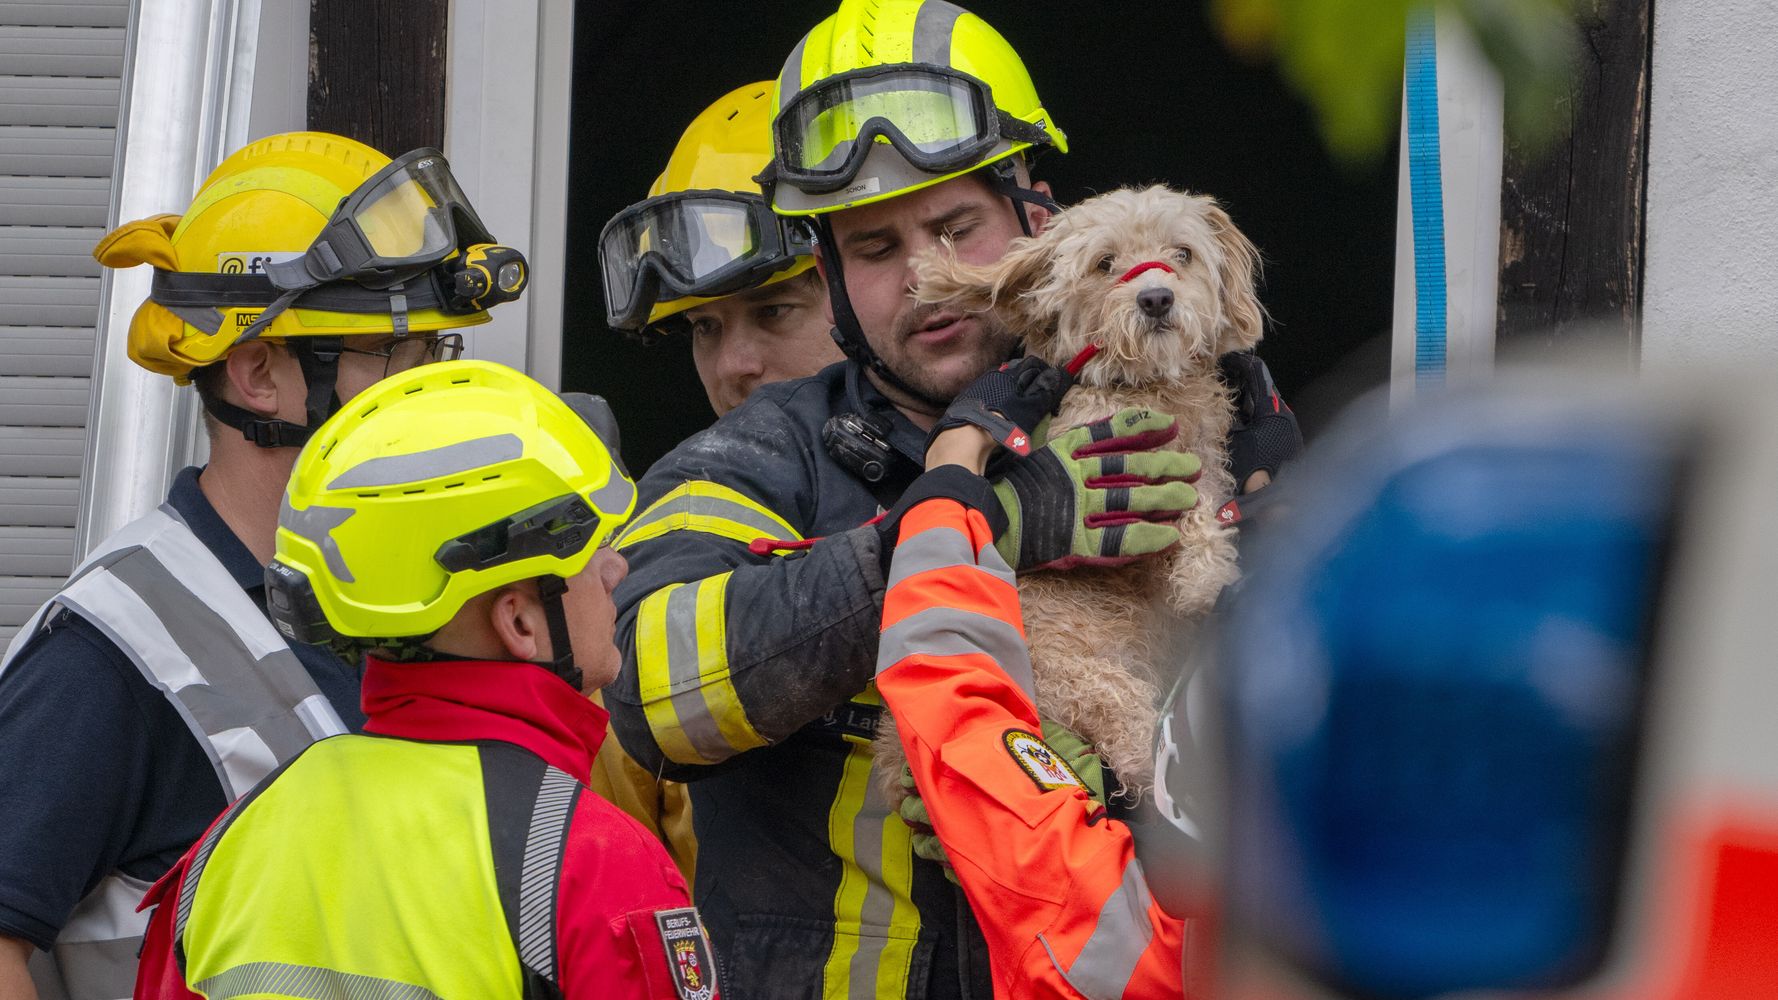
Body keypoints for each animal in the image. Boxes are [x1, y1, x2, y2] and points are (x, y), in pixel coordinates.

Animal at [878, 186, 1265, 800]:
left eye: (1181, 254)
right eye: (1105, 263)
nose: (1156, 298)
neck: (1143, 387)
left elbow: (1208, 502)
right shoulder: (1133, 476)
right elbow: (1188, 512)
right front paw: (1203, 579)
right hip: (1097, 687)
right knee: (1136, 757)